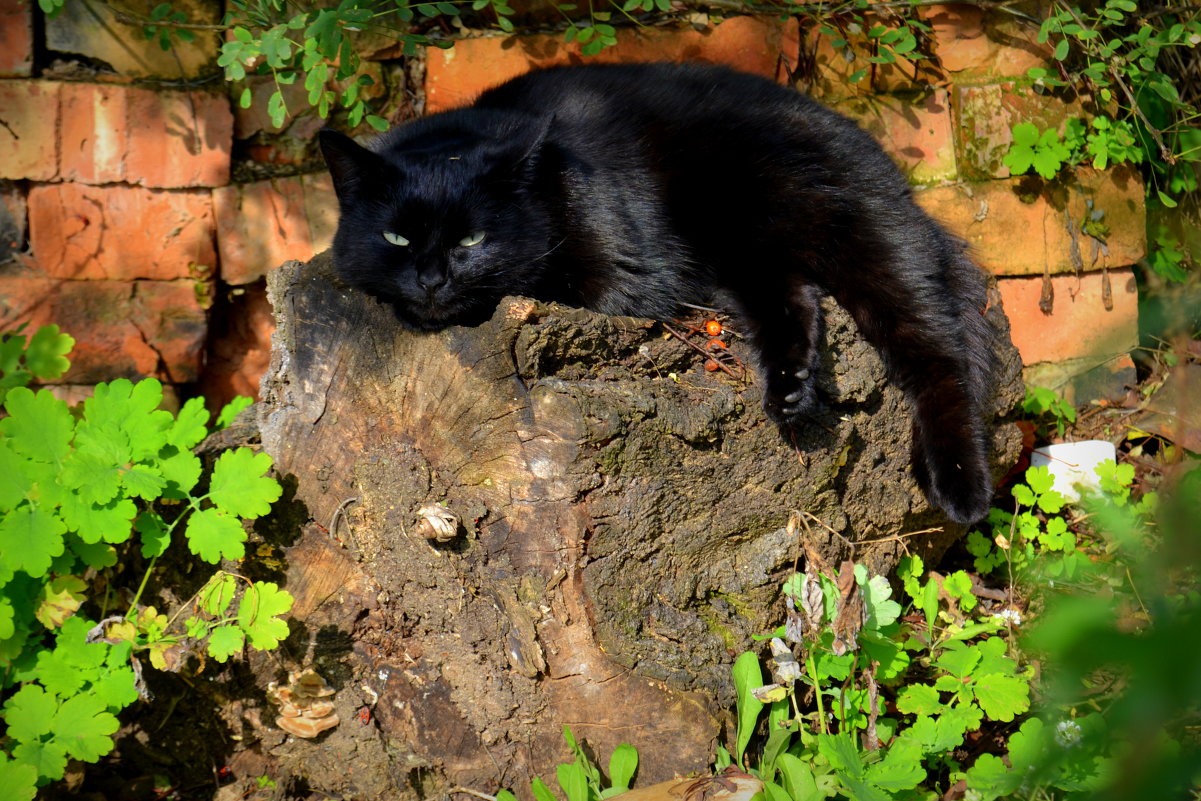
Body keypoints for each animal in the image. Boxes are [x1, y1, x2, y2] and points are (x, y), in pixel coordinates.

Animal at [317, 64, 994, 525]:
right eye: (396, 237)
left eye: (472, 238)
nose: (432, 280)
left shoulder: (628, 280)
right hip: (754, 254)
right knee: (795, 297)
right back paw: (792, 393)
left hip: (855, 239)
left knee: (936, 354)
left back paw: (961, 489)